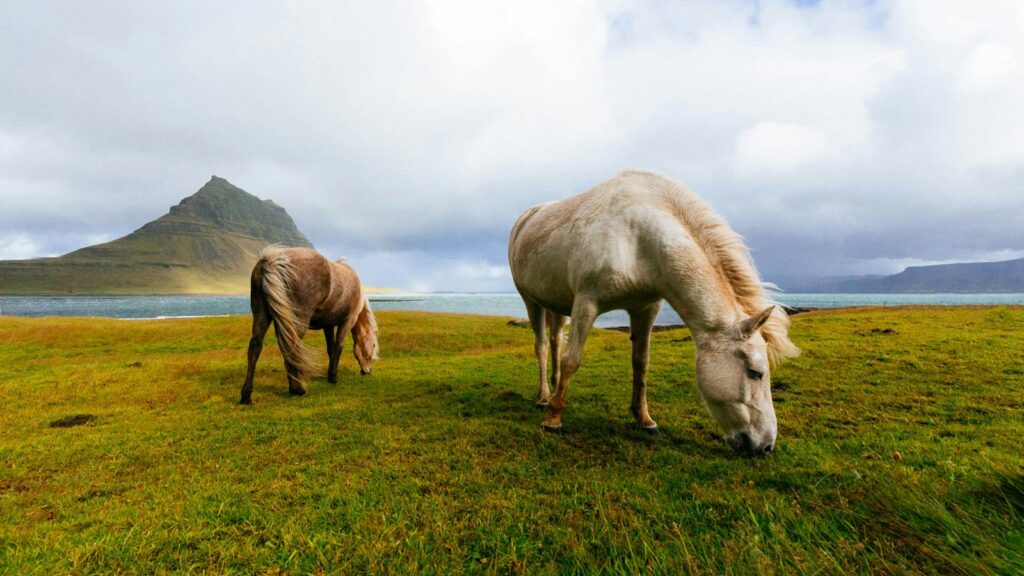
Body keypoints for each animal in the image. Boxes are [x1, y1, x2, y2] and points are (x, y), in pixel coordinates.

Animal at [240, 246, 379, 404]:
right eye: (373, 345)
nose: (367, 371)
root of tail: (272, 260)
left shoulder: (328, 325)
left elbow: (331, 348)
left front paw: (329, 374)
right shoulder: (347, 321)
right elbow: (339, 347)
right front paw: (333, 377)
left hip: (262, 315)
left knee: (255, 346)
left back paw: (246, 395)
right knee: (291, 347)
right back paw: (297, 389)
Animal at [508, 170, 799, 456]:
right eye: (755, 372)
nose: (766, 446)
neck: (638, 237)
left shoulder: (645, 308)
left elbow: (641, 363)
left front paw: (644, 419)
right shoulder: (586, 304)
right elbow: (572, 360)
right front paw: (553, 421)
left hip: (558, 306)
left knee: (556, 341)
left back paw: (554, 389)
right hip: (531, 301)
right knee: (542, 346)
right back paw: (544, 398)